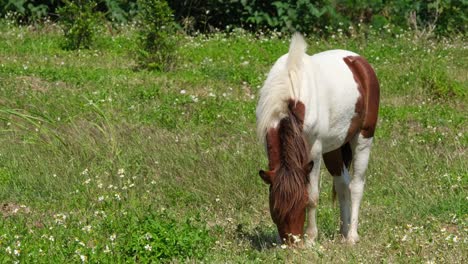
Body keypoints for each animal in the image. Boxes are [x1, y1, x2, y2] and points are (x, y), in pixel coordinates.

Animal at [256, 33, 380, 245]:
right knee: (342, 184)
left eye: (301, 203)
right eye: (275, 208)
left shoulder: (314, 151)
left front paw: (311, 238)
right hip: (334, 148)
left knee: (356, 186)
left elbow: (314, 196)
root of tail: (360, 63)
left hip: (363, 138)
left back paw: (352, 236)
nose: (292, 243)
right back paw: (343, 232)